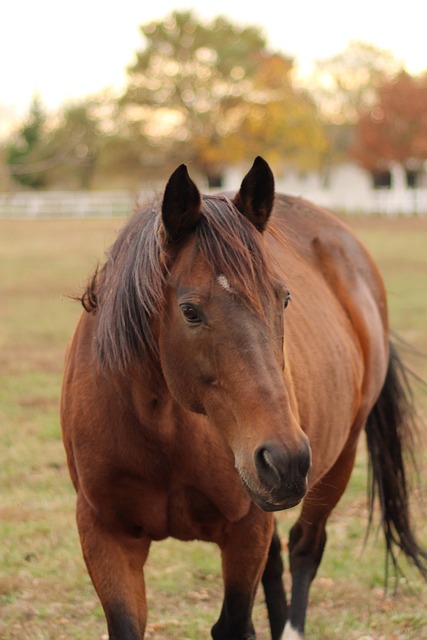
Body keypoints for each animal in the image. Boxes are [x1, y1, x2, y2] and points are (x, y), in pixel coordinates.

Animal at [61, 156, 427, 640]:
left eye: (284, 298)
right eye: (190, 311)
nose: (286, 459)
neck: (160, 428)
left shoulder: (244, 529)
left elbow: (236, 621)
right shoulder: (105, 533)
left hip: (338, 461)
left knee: (305, 548)